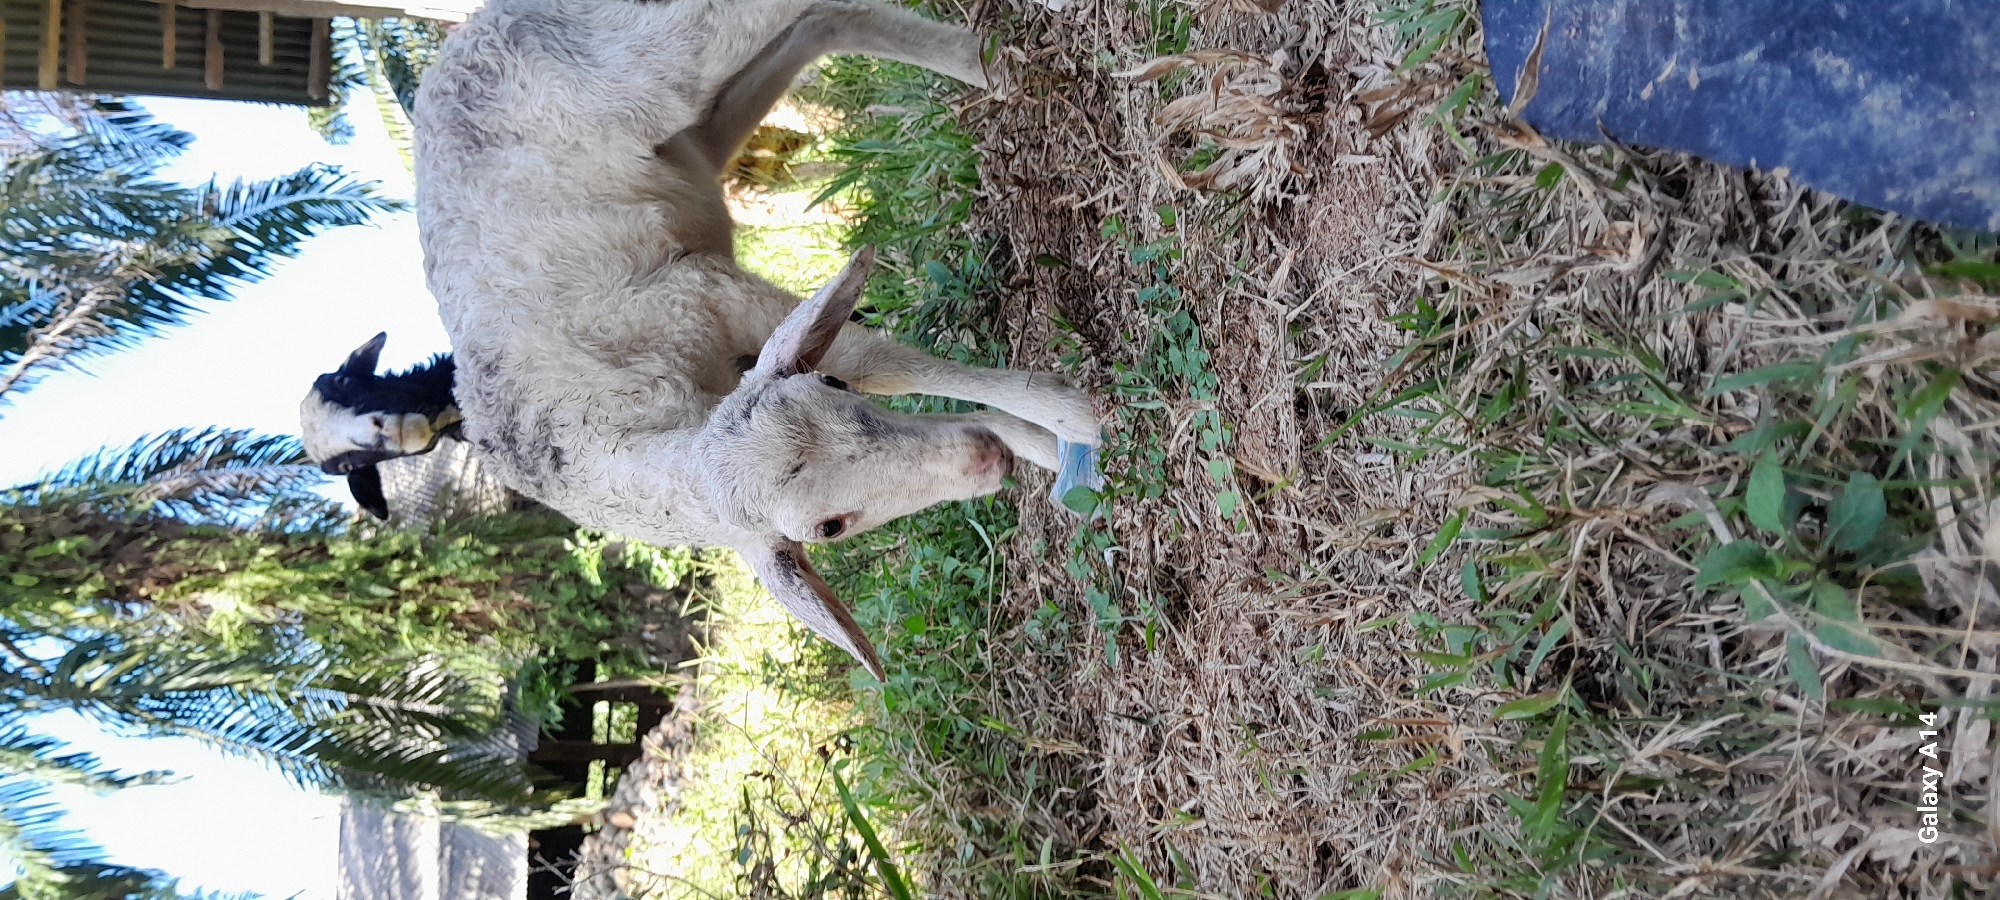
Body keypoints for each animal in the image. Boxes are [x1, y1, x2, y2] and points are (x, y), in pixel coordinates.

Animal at [299, 0, 1102, 681]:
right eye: (831, 528)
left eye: (350, 388)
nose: (400, 435)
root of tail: (461, 36)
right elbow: (881, 372)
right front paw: (1039, 446)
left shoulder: (697, 293)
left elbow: (881, 363)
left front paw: (1070, 415)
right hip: (685, 138)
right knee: (819, 24)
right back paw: (986, 64)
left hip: (643, 60)